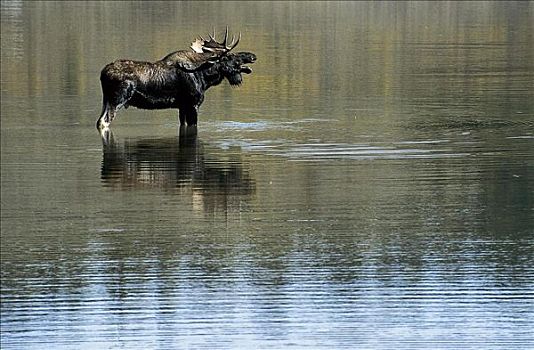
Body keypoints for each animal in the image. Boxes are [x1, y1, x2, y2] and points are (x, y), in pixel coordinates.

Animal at [97, 27, 258, 129]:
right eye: (230, 56)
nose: (252, 56)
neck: (205, 79)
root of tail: (102, 73)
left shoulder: (182, 106)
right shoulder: (193, 104)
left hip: (106, 100)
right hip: (117, 99)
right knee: (102, 122)